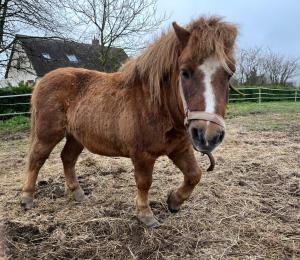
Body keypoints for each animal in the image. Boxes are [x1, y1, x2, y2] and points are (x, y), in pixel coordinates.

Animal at [21, 16, 238, 228]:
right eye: (184, 72)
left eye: (229, 74)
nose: (208, 135)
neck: (155, 104)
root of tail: (42, 81)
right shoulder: (142, 155)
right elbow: (144, 182)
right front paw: (145, 215)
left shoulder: (180, 149)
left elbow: (194, 175)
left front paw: (174, 201)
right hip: (48, 134)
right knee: (36, 159)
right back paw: (27, 198)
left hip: (76, 137)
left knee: (67, 158)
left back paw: (78, 193)